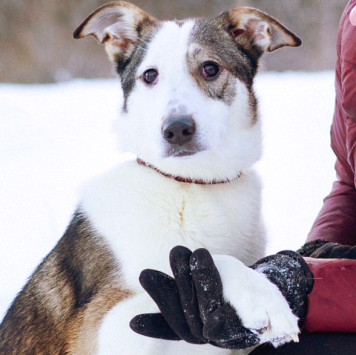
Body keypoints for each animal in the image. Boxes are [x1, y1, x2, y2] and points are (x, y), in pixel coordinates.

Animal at [0, 2, 300, 355]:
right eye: (150, 76)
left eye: (210, 68)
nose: (177, 129)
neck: (191, 185)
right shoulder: (98, 327)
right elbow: (197, 264)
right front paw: (260, 294)